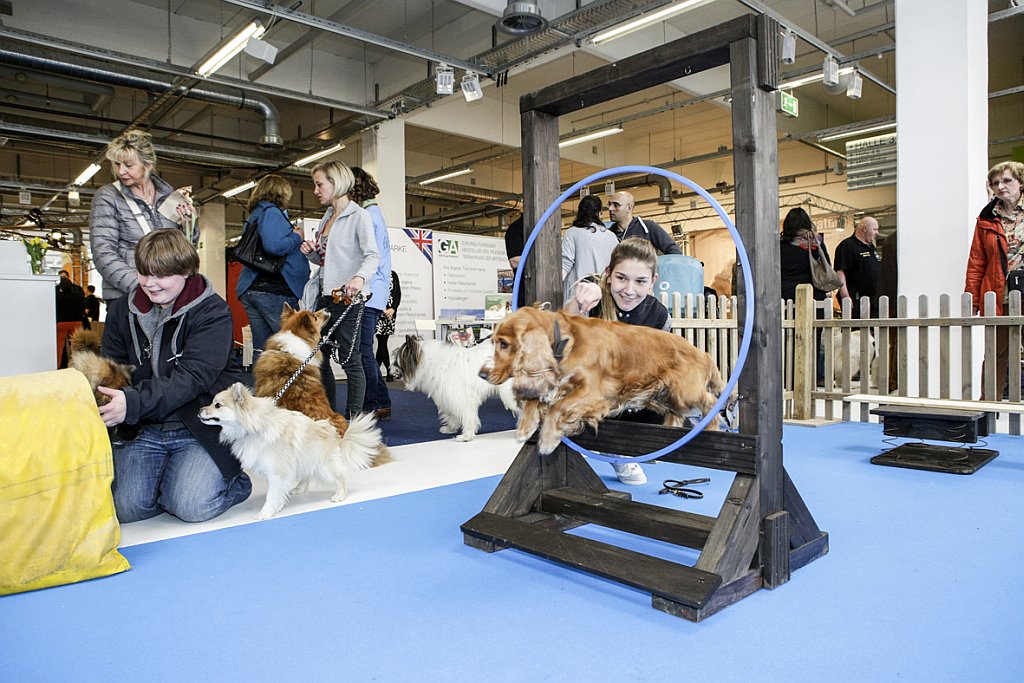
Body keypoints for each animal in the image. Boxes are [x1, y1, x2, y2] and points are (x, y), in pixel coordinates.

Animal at [197, 382, 382, 520]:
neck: (255, 426)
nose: (199, 410)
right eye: (212, 403)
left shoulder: (277, 471)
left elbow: (272, 494)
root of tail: (335, 436)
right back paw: (299, 488)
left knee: (340, 478)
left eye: (217, 405)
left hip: (324, 467)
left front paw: (266, 512)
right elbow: (276, 492)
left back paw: (340, 495)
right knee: (307, 475)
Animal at [391, 333, 520, 440]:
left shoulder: (461, 397)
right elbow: (452, 414)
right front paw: (450, 428)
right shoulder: (448, 397)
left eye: (396, 362)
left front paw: (467, 435)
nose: (389, 370)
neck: (433, 362)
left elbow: (467, 416)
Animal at [481, 307, 729, 456]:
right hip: (665, 395)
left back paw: (713, 428)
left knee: (710, 402)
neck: (565, 342)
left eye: (504, 344)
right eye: (493, 342)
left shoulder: (593, 392)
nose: (482, 373)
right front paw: (525, 427)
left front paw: (548, 441)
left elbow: (557, 409)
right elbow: (536, 400)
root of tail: (702, 353)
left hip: (684, 392)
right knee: (676, 414)